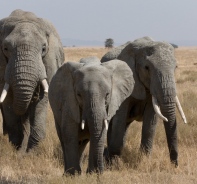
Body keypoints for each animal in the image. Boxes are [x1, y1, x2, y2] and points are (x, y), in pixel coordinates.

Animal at [0, 9, 64, 152]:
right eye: (5, 49)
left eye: (44, 49)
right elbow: (7, 100)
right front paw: (17, 150)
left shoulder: (49, 62)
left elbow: (41, 100)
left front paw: (32, 152)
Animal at [101, 36, 187, 167]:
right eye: (147, 68)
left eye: (175, 67)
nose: (175, 165)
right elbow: (119, 118)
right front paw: (113, 164)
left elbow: (150, 124)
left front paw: (144, 160)